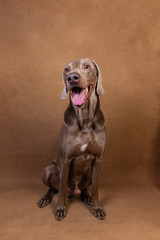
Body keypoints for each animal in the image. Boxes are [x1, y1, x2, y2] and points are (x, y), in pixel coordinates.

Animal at [37, 58, 106, 221]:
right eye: (67, 69)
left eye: (86, 66)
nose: (72, 77)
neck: (85, 120)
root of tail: (73, 191)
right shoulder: (65, 160)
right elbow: (61, 189)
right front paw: (60, 209)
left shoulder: (98, 159)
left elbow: (95, 188)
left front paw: (97, 208)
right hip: (48, 170)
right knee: (54, 188)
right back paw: (46, 198)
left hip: (89, 171)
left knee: (85, 188)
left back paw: (86, 197)